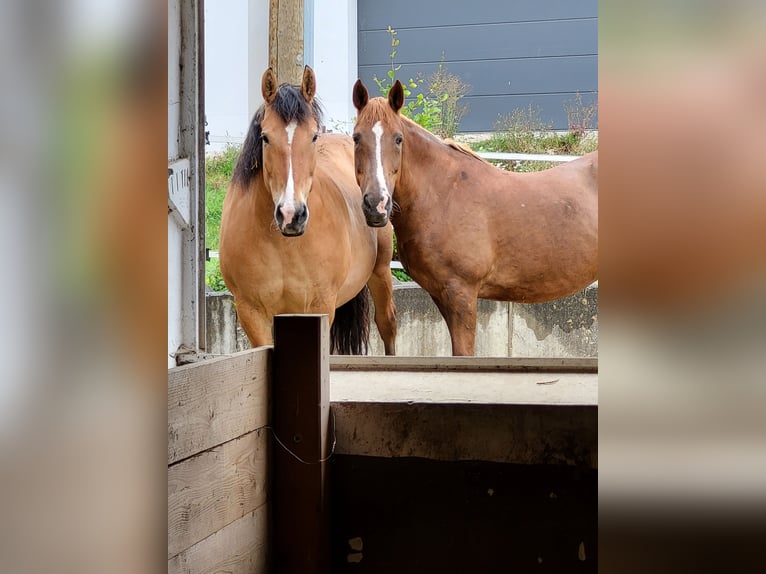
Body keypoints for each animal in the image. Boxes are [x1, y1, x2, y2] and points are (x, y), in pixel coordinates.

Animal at [216, 67, 396, 356]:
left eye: (313, 136)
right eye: (265, 137)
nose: (291, 215)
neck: (284, 245)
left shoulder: (320, 306)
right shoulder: (250, 312)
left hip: (380, 273)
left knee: (387, 323)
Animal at [352, 77, 596, 356]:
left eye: (398, 139)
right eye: (356, 137)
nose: (376, 205)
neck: (445, 194)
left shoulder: (462, 293)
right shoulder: (441, 295)